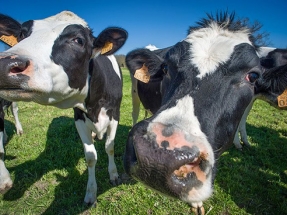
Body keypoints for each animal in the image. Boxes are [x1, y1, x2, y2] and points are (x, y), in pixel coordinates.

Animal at [0, 10, 128, 206]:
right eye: (22, 34)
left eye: (78, 40)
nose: (5, 64)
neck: (94, 105)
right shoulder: (79, 117)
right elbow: (90, 157)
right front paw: (91, 193)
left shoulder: (115, 114)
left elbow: (110, 147)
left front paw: (113, 175)